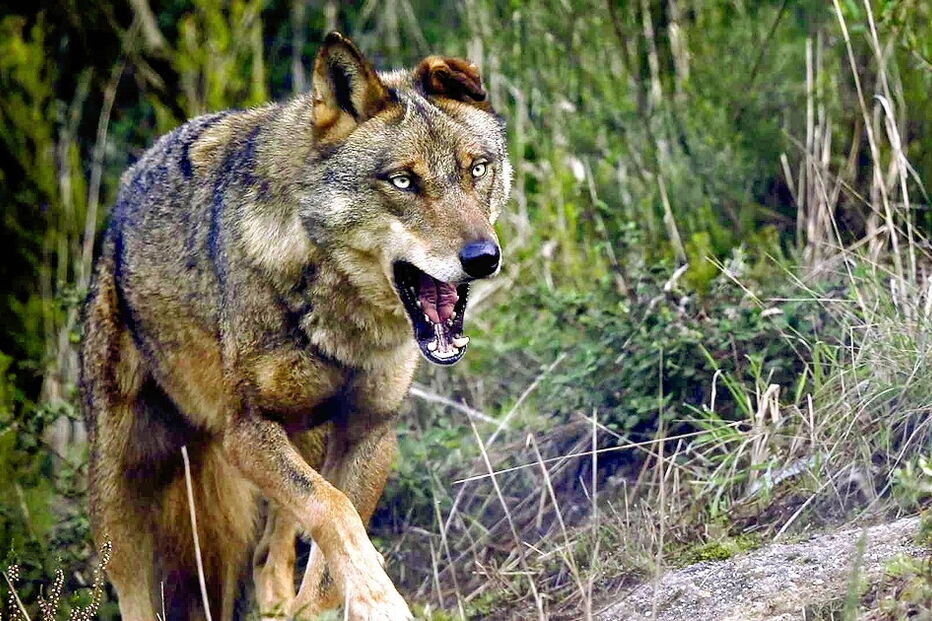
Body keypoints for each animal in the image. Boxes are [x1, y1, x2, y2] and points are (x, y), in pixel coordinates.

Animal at [79, 32, 510, 620]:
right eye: (403, 181)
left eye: (476, 170)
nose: (483, 258)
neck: (340, 322)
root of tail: (120, 202)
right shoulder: (246, 434)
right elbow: (333, 511)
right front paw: (379, 600)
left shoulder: (369, 431)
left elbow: (330, 546)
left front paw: (333, 604)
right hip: (123, 483)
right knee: (132, 586)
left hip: (302, 440)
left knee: (268, 554)